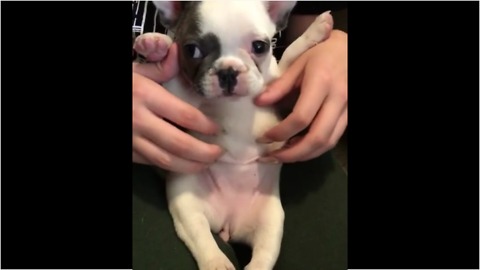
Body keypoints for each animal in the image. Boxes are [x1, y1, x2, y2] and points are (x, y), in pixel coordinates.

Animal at [133, 1, 332, 268]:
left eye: (260, 46)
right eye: (192, 50)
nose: (228, 71)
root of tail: (230, 222)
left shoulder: (280, 89)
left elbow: (290, 54)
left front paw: (315, 31)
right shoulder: (179, 97)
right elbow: (173, 78)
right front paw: (156, 46)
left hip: (272, 221)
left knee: (264, 254)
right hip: (187, 206)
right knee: (202, 237)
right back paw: (217, 262)